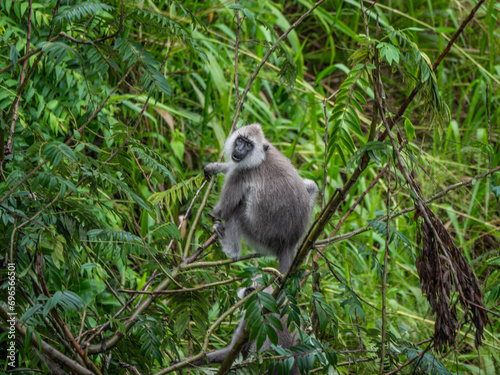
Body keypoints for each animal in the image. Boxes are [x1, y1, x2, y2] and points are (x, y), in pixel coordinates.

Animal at [205, 125, 318, 274]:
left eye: (248, 145)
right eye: (240, 140)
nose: (239, 150)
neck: (262, 158)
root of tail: (288, 243)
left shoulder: (241, 174)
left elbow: (223, 211)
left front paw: (211, 212)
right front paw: (215, 167)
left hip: (260, 236)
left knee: (236, 213)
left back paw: (231, 251)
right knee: (312, 185)